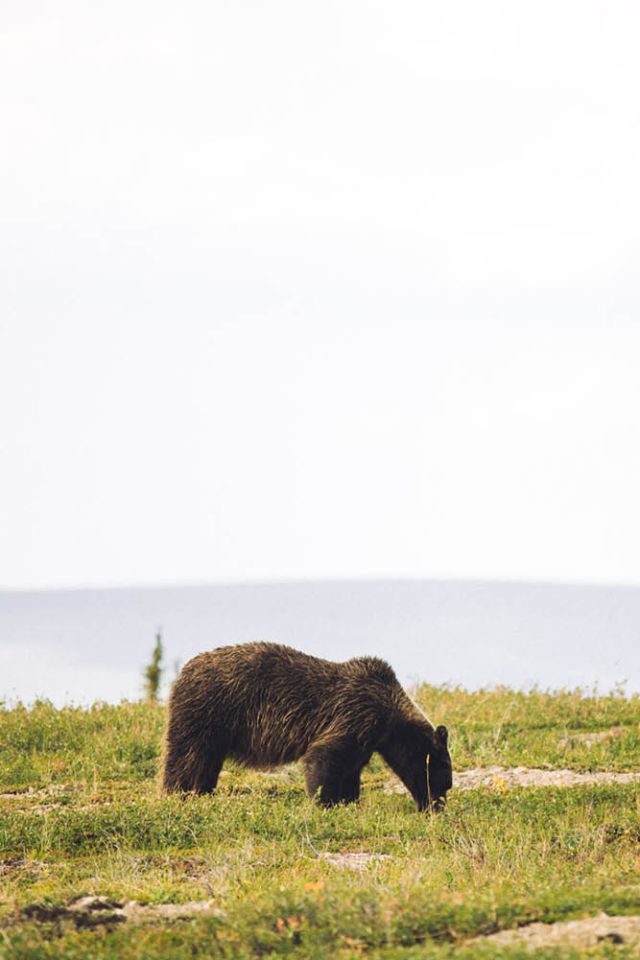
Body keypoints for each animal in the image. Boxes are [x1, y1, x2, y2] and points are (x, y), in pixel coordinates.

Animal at [162, 641, 452, 811]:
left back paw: (203, 792)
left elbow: (350, 768)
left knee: (206, 761)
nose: (437, 806)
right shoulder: (356, 715)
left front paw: (347, 801)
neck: (390, 724)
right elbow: (325, 757)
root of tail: (185, 668)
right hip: (208, 710)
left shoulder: (366, 736)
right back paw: (180, 794)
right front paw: (323, 802)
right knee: (188, 757)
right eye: (443, 773)